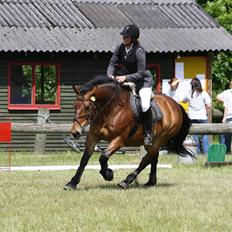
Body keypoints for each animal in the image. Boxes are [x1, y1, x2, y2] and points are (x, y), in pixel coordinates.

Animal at [63, 75, 194, 189]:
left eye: (86, 107)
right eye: (74, 105)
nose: (75, 132)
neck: (110, 109)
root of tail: (176, 105)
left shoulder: (120, 139)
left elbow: (103, 156)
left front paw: (108, 174)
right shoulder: (93, 136)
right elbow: (84, 159)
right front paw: (72, 183)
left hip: (159, 140)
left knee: (146, 159)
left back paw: (126, 181)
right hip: (151, 143)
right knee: (153, 157)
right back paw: (150, 182)